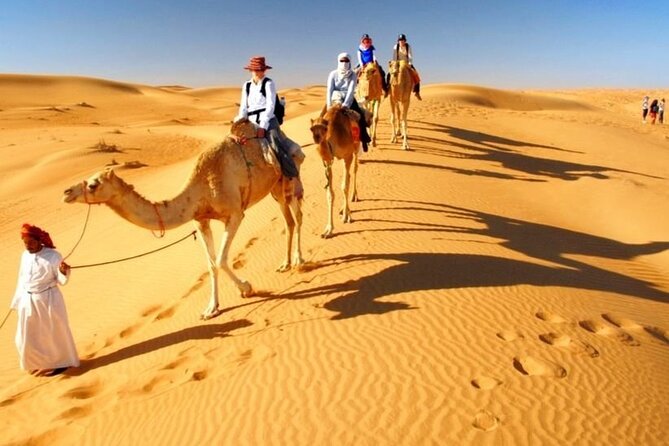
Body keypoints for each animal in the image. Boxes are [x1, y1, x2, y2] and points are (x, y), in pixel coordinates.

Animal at [62, 118, 304, 319]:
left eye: (93, 185)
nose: (66, 192)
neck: (201, 187)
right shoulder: (201, 220)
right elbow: (211, 264)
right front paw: (211, 309)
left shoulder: (235, 214)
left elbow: (220, 260)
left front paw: (246, 288)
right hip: (274, 188)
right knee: (289, 220)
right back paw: (285, 264)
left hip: (289, 178)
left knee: (298, 215)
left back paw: (300, 261)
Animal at [309, 103, 360, 238]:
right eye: (311, 129)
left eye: (324, 128)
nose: (316, 138)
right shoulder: (327, 162)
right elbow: (330, 193)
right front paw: (328, 229)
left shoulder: (347, 156)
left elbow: (344, 186)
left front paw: (347, 217)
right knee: (349, 176)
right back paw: (343, 209)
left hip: (356, 148)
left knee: (354, 170)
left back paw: (354, 197)